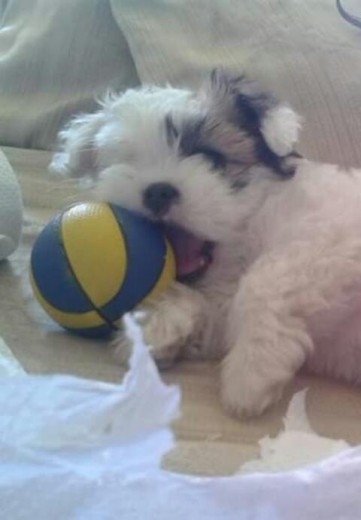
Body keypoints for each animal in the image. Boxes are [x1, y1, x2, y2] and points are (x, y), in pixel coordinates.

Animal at [52, 70, 361, 418]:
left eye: (212, 158)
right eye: (129, 161)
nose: (158, 191)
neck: (244, 240)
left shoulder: (332, 235)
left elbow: (263, 280)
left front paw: (251, 370)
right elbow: (204, 307)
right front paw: (158, 326)